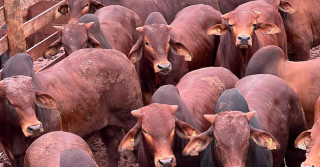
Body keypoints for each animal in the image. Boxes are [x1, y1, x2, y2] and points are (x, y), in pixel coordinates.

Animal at [0, 47, 142, 166]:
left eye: (32, 98)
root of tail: (123, 57)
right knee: (112, 147)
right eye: (9, 101)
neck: (14, 134)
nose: (35, 128)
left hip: (130, 117)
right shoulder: (11, 155)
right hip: (104, 125)